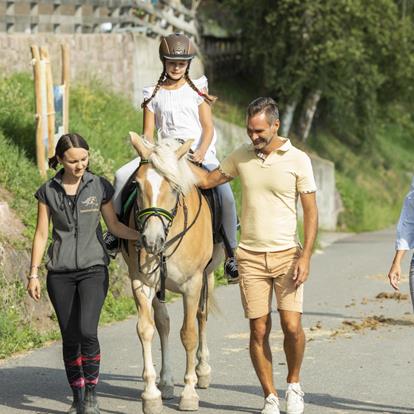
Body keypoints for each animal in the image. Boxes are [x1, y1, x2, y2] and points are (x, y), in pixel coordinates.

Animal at [121, 133, 223, 414]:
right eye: (137, 184)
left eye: (175, 188)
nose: (151, 241)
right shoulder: (142, 282)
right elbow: (146, 330)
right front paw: (151, 394)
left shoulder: (193, 284)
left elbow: (188, 334)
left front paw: (188, 393)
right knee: (164, 324)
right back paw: (166, 382)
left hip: (208, 277)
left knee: (201, 317)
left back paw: (203, 371)